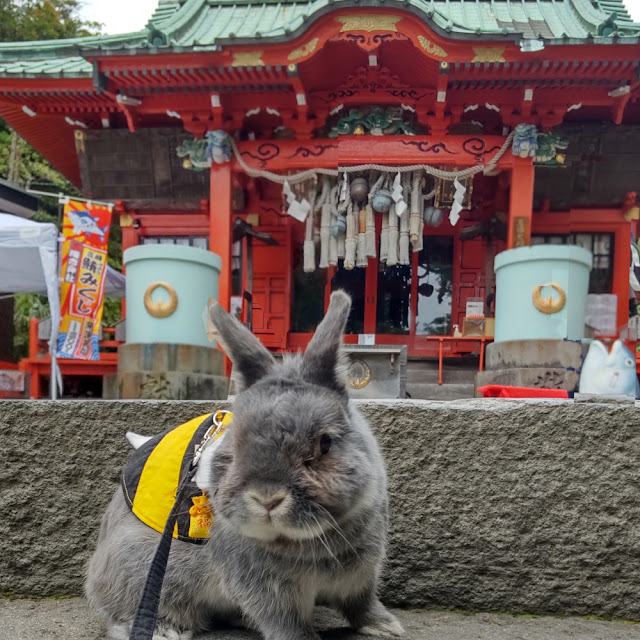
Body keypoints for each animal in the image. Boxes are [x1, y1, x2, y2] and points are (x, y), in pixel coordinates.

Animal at [85, 292, 404, 640]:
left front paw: (386, 626)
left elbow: (361, 604)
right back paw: (163, 630)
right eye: (234, 446)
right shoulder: (265, 588)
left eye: (325, 443)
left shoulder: (359, 575)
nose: (267, 498)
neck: (304, 539)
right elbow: (285, 622)